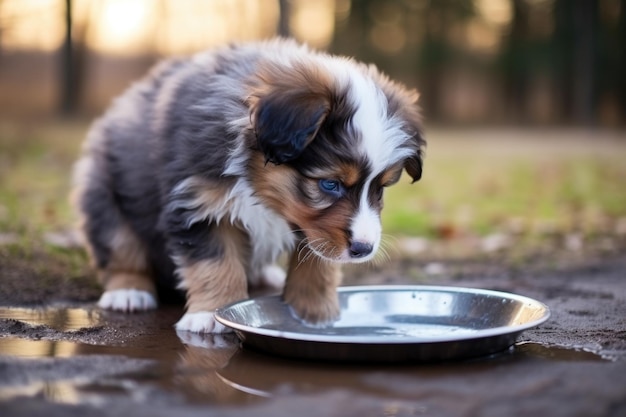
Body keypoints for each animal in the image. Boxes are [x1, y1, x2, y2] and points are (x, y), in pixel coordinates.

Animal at [73, 38, 424, 332]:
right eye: (329, 184)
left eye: (381, 187)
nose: (363, 249)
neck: (258, 182)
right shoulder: (198, 204)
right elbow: (216, 262)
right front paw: (210, 314)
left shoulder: (316, 227)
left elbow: (318, 261)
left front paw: (316, 314)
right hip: (102, 193)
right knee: (120, 247)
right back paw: (128, 291)